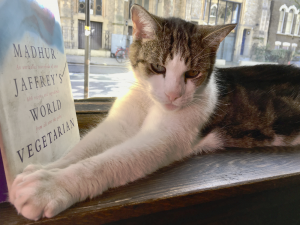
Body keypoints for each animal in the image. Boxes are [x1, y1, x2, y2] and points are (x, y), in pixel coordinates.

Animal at [8, 4, 300, 221]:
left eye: (192, 73)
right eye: (158, 67)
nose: (173, 95)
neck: (149, 102)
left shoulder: (165, 138)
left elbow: (103, 163)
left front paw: (48, 187)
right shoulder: (119, 124)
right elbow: (83, 149)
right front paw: (43, 170)